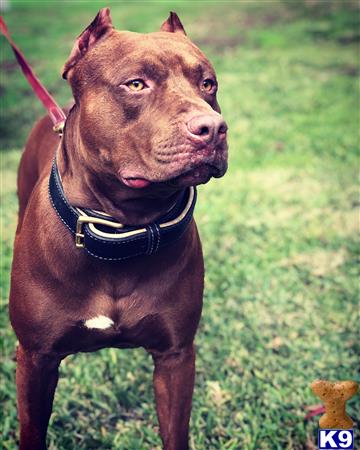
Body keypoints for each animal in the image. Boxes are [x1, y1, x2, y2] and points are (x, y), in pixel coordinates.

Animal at [9, 7, 228, 450]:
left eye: (208, 84)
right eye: (136, 84)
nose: (212, 128)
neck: (123, 229)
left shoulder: (176, 357)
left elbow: (175, 432)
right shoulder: (37, 359)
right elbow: (32, 431)